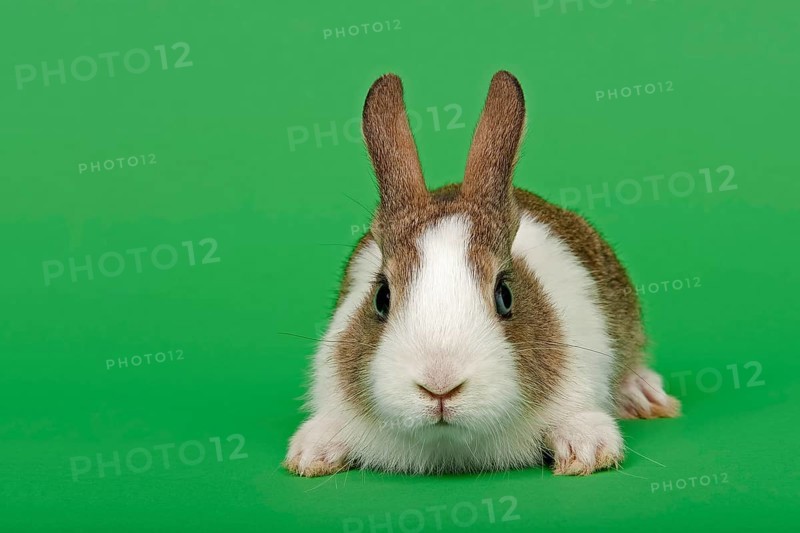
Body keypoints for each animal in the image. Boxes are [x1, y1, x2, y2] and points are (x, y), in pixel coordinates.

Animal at [284, 71, 680, 477]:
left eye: (505, 295)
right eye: (381, 298)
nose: (439, 386)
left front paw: (588, 449)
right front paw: (310, 454)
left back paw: (643, 395)